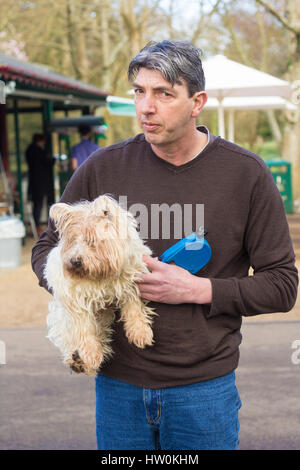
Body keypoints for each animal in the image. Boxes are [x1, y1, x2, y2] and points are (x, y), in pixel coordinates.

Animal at [44, 194, 157, 374]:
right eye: (72, 240)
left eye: (91, 241)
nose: (74, 261)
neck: (100, 274)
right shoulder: (76, 300)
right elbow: (84, 328)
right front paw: (91, 353)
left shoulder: (130, 280)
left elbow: (134, 307)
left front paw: (140, 331)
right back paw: (76, 360)